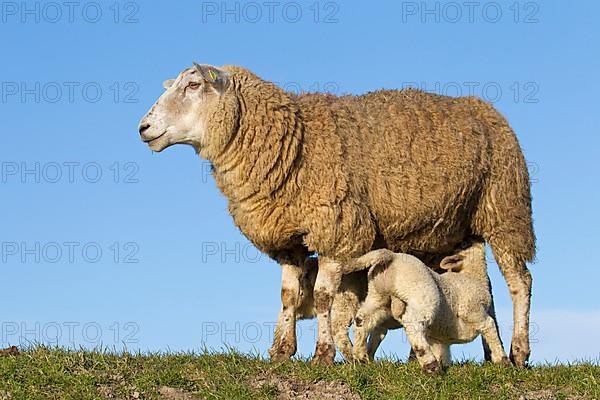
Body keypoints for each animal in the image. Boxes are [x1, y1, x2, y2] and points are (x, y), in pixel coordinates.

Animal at [352, 239, 510, 374]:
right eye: (464, 243)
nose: (478, 237)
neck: (473, 276)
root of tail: (391, 256)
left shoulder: (440, 339)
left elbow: (443, 352)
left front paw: (445, 365)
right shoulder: (473, 310)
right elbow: (490, 327)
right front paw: (502, 361)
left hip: (378, 296)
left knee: (362, 319)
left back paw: (361, 357)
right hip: (423, 296)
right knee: (413, 325)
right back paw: (430, 366)